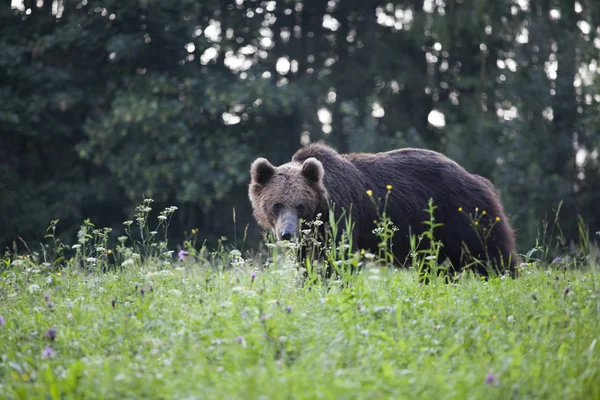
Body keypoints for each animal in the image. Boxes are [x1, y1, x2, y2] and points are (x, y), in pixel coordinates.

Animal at [247, 142, 516, 276]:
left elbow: (338, 259)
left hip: (464, 216)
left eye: (301, 206)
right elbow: (308, 263)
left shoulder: (342, 217)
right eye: (276, 204)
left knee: (492, 255)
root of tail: (478, 179)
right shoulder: (312, 239)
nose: (287, 234)